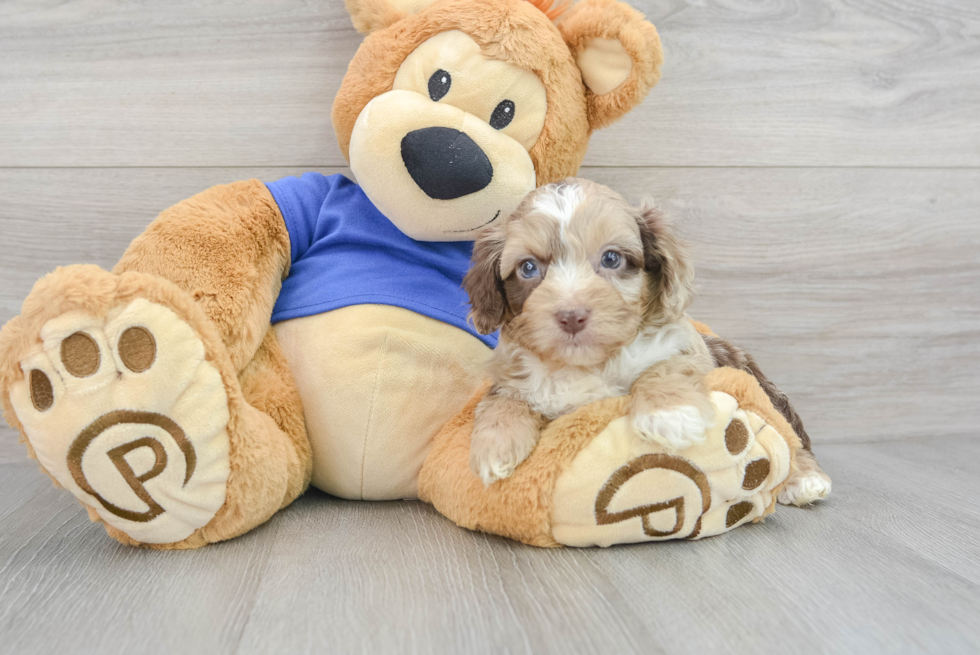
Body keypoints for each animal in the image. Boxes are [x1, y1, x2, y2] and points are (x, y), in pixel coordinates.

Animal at [464, 177, 716, 484]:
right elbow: (502, 398)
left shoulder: (684, 346)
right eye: (528, 267)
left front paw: (671, 413)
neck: (585, 365)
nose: (572, 317)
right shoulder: (508, 377)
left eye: (611, 258)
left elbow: (666, 366)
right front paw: (495, 444)